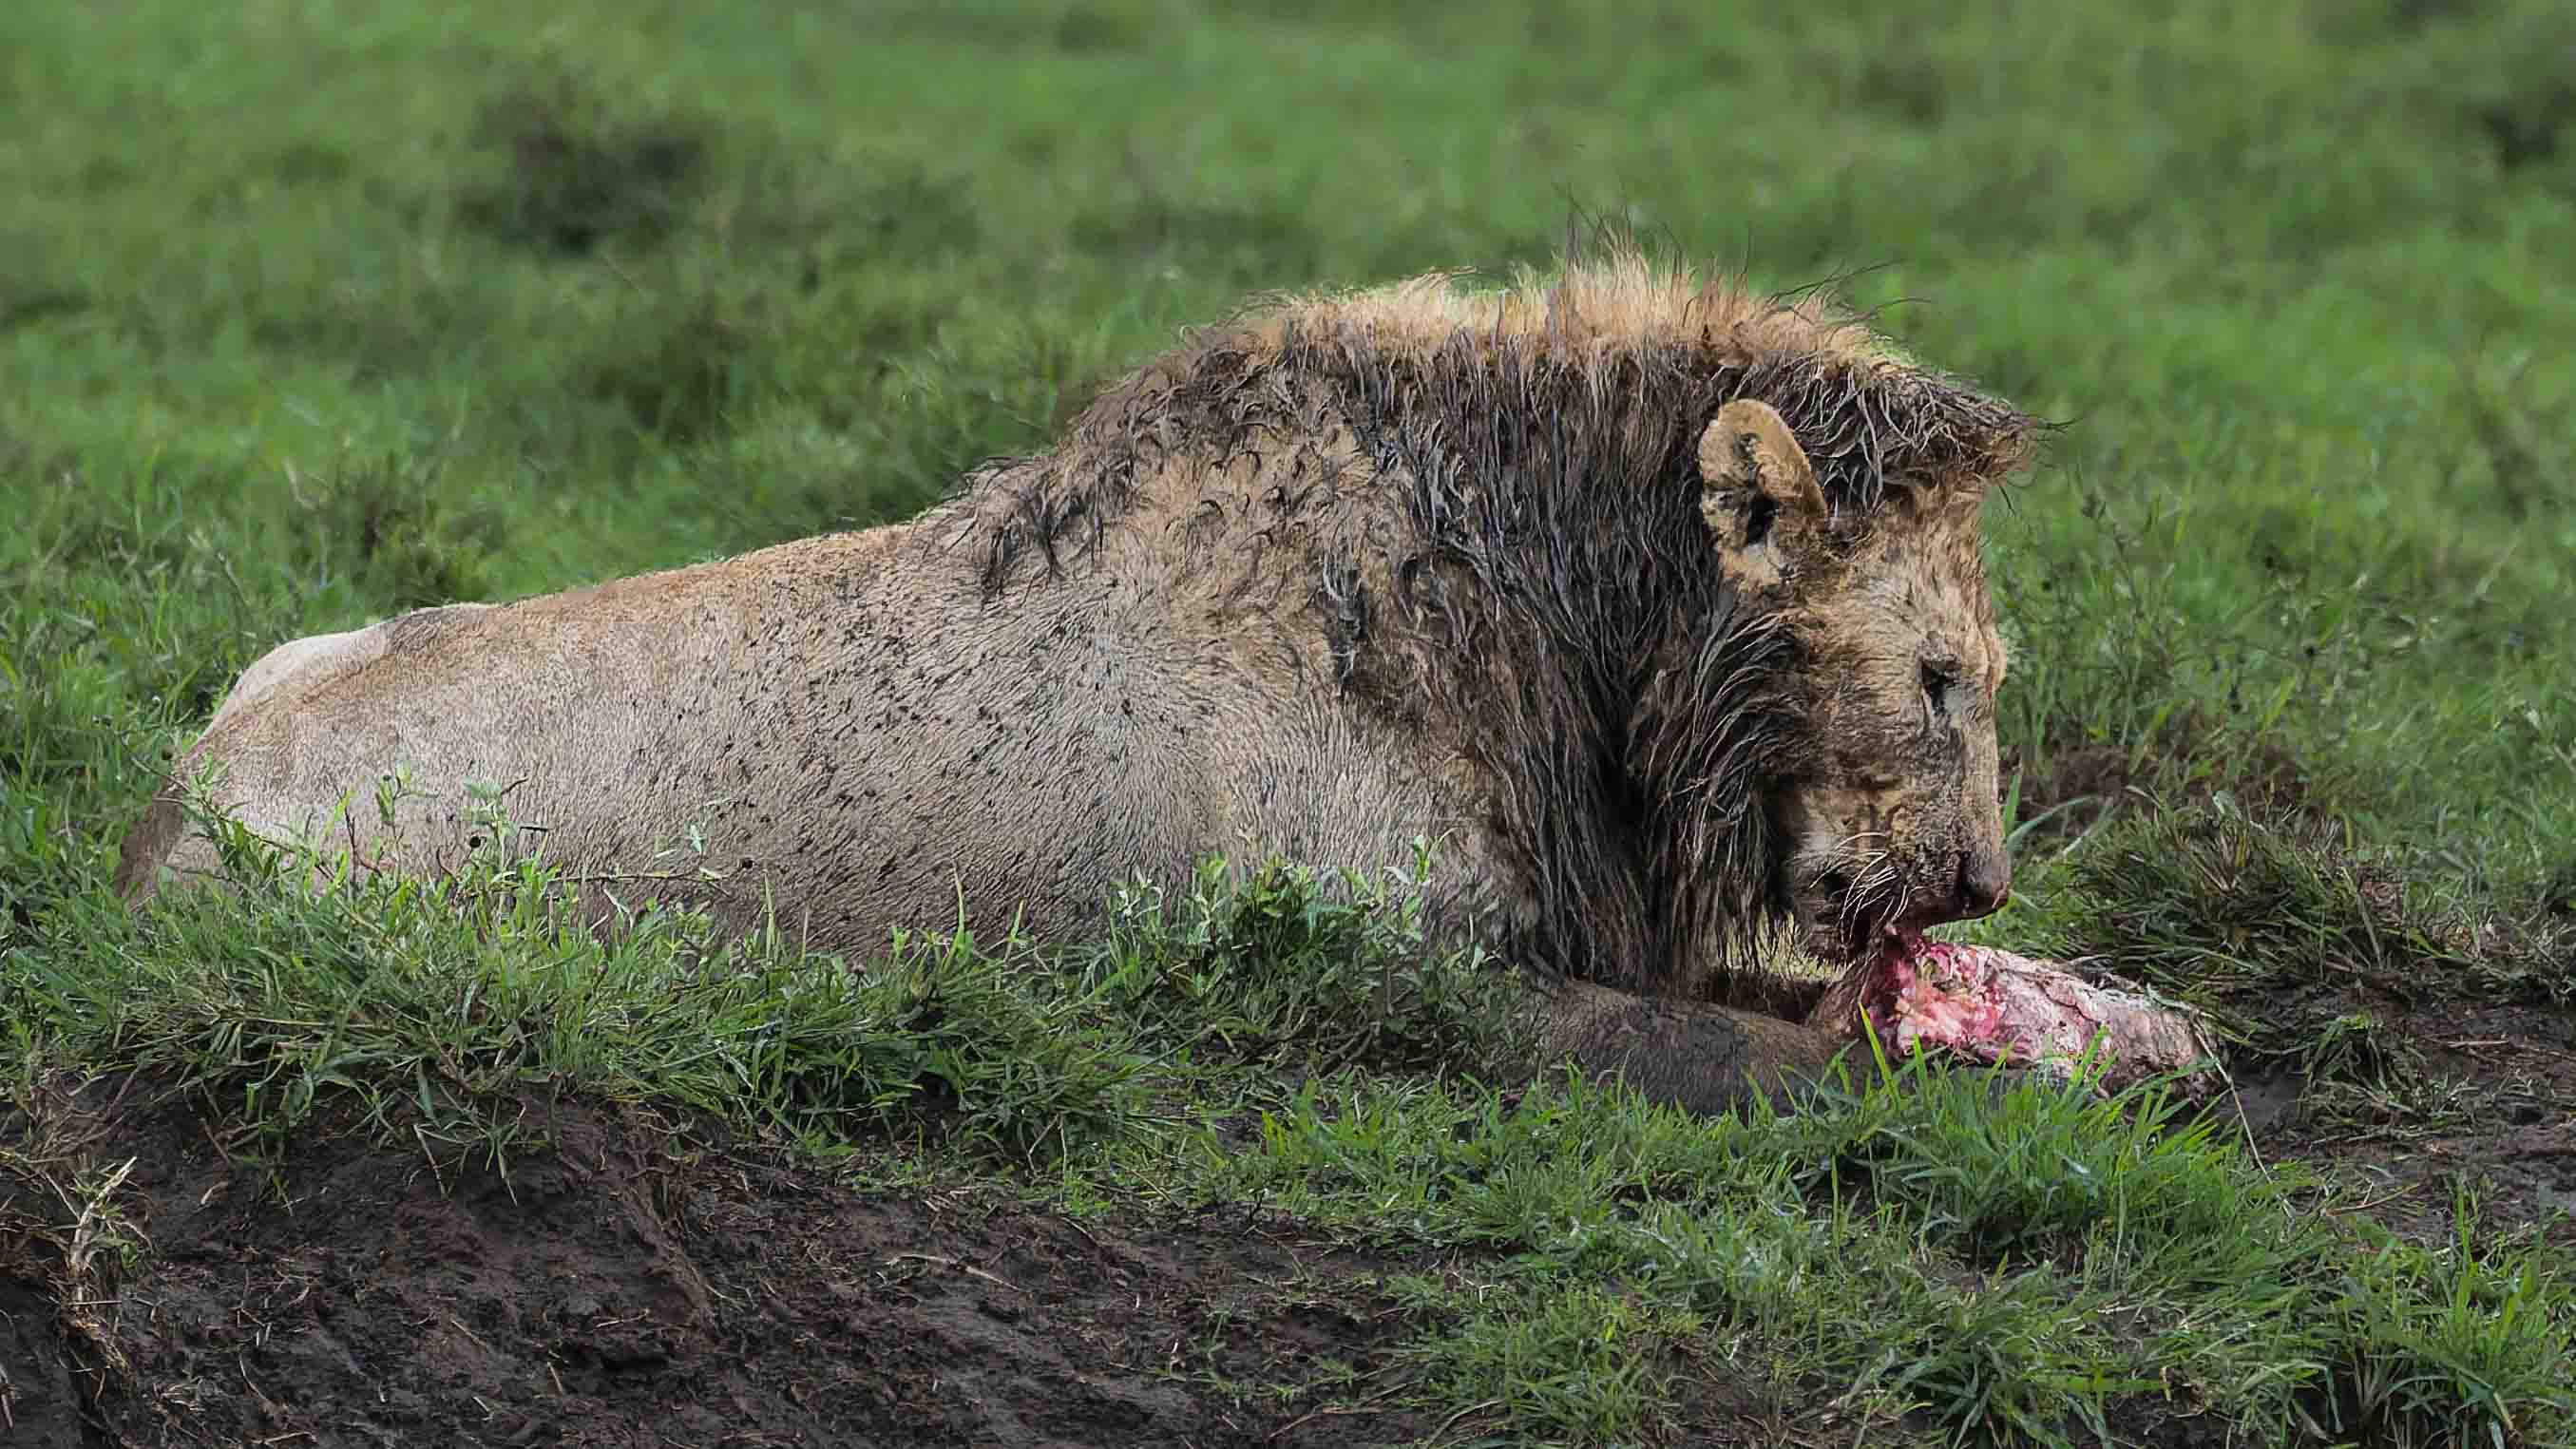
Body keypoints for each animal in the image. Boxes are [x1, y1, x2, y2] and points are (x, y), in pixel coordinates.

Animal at [113, 243, 2043, 1115]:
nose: (1978, 885)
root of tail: (167, 819)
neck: (1578, 638)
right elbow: (1758, 1059)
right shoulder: (1383, 974)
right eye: (1941, 680)